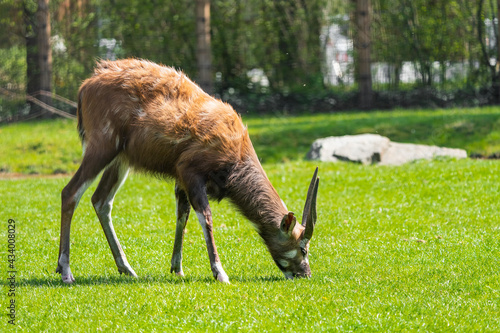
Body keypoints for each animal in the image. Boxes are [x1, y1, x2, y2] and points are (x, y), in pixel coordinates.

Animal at [55, 59, 320, 282]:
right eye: (303, 248)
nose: (305, 274)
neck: (236, 153)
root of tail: (86, 86)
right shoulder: (189, 171)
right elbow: (205, 216)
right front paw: (220, 273)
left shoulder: (179, 179)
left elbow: (182, 214)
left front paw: (177, 268)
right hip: (102, 148)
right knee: (70, 192)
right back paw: (66, 271)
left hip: (121, 160)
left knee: (100, 200)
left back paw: (127, 268)